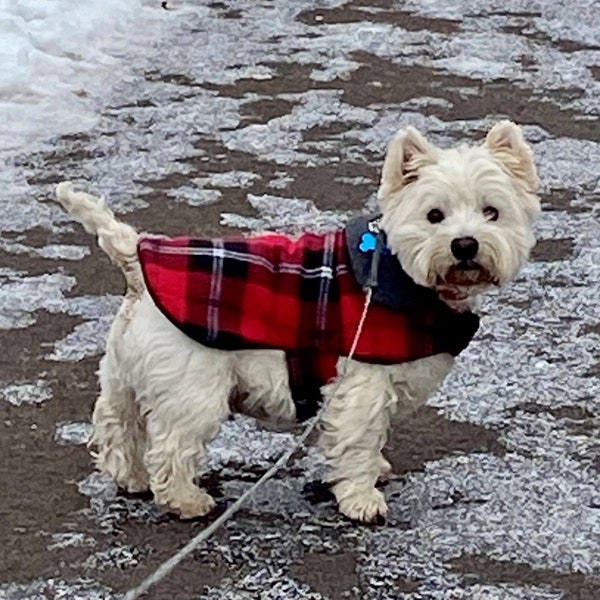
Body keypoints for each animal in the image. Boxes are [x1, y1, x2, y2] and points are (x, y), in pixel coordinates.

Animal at [54, 120, 540, 520]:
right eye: (434, 215)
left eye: (492, 212)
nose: (465, 245)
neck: (398, 274)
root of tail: (135, 260)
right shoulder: (362, 384)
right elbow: (360, 440)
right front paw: (362, 499)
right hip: (193, 387)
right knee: (170, 445)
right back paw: (187, 501)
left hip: (124, 375)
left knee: (117, 425)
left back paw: (130, 478)